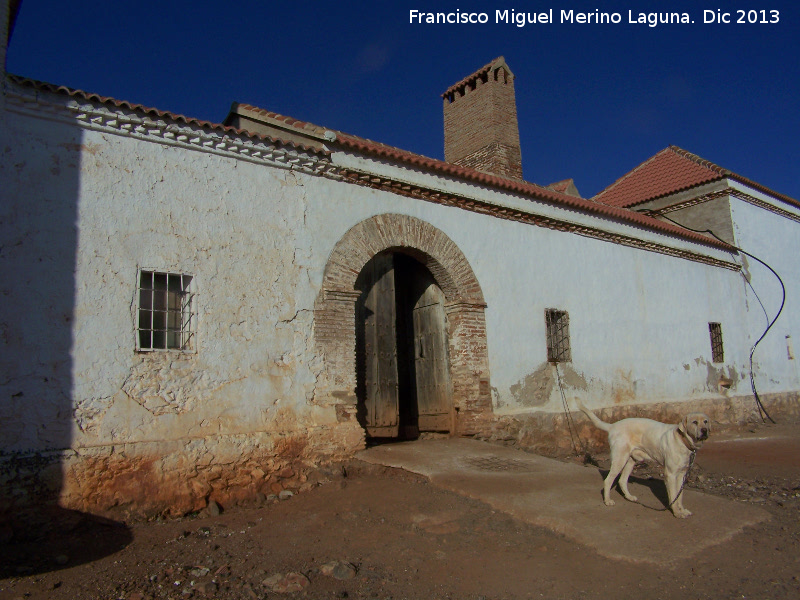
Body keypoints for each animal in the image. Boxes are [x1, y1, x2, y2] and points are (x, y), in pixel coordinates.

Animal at [576, 400, 712, 516]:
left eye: (705, 421)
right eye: (695, 422)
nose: (704, 430)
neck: (682, 439)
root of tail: (613, 426)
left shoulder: (682, 474)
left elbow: (680, 496)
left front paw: (682, 510)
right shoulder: (670, 474)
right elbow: (674, 495)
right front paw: (677, 513)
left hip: (631, 460)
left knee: (622, 480)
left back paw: (629, 497)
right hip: (620, 459)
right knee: (608, 480)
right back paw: (608, 500)